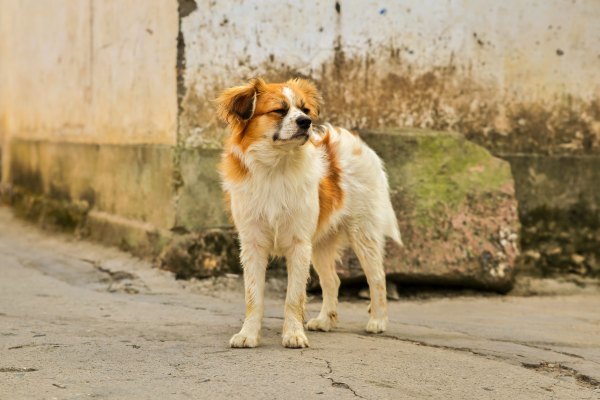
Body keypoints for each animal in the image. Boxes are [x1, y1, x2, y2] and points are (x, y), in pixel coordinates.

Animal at [217, 77, 404, 346]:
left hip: (363, 234)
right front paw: (248, 334)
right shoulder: (253, 244)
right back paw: (326, 320)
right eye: (280, 110)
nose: (306, 122)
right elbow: (253, 296)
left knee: (377, 277)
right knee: (333, 281)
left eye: (305, 110)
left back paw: (378, 321)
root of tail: (355, 142)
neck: (276, 167)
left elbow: (294, 297)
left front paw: (293, 334)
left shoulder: (299, 244)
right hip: (321, 245)